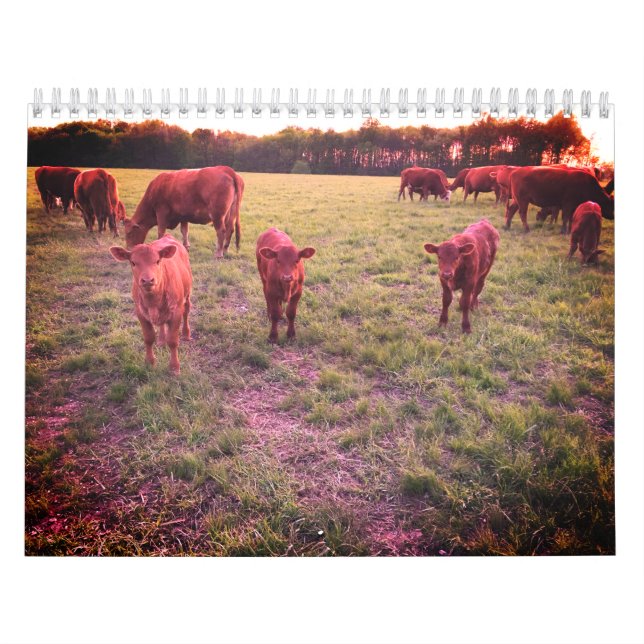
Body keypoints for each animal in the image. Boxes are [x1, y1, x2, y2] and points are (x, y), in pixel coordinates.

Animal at [109, 234, 192, 375]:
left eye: (158, 261)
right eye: (133, 262)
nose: (148, 280)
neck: (153, 301)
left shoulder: (176, 312)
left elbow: (173, 341)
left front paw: (174, 367)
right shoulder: (140, 313)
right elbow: (148, 338)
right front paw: (149, 362)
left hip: (187, 294)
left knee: (186, 311)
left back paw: (186, 334)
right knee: (162, 324)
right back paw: (161, 340)